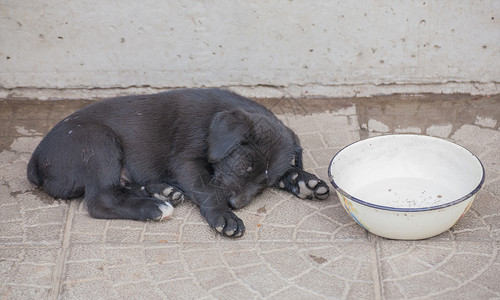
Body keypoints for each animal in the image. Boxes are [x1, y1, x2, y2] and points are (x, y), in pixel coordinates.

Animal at [29, 89, 330, 237]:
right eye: (242, 165)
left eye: (265, 183)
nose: (235, 204)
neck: (212, 123)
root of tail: (36, 161)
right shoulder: (186, 161)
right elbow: (208, 189)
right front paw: (224, 216)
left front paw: (303, 179)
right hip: (97, 142)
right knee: (100, 200)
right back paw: (154, 207)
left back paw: (161, 192)